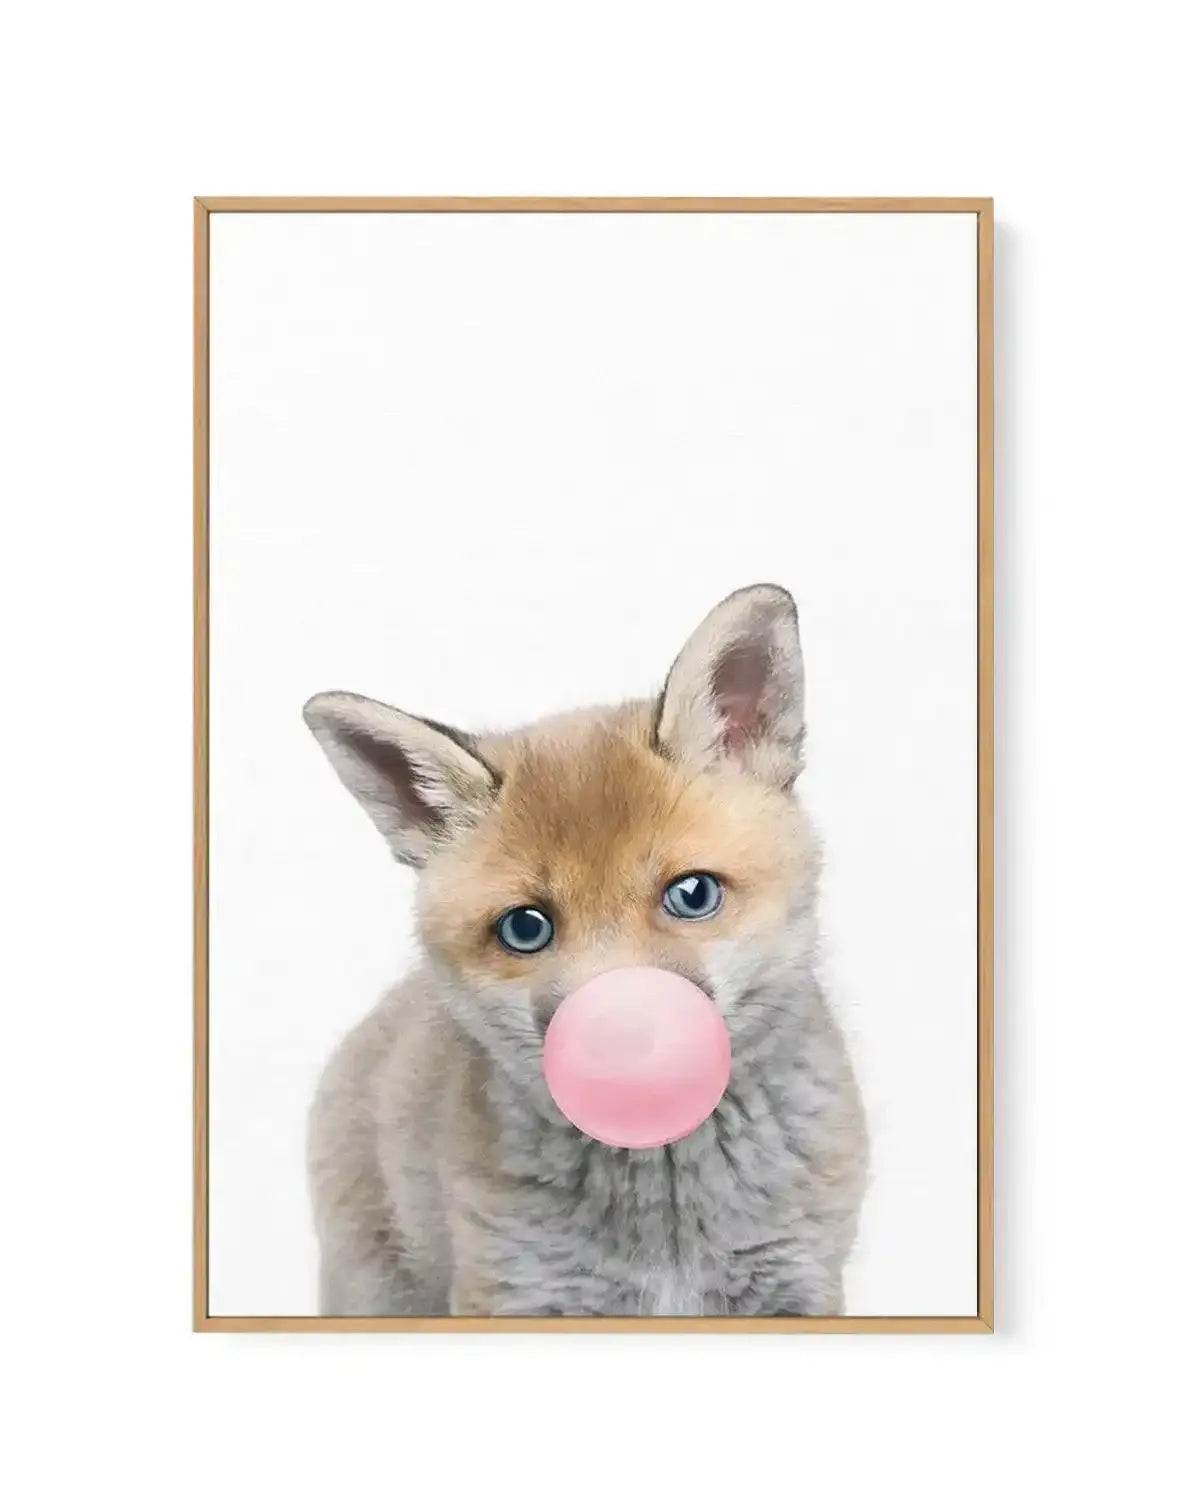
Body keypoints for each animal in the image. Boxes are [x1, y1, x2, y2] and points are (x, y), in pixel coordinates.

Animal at [303, 583, 867, 1317]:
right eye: (526, 928)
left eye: (692, 894)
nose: (620, 1043)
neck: (668, 1235)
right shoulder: (514, 1291)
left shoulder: (797, 1282)